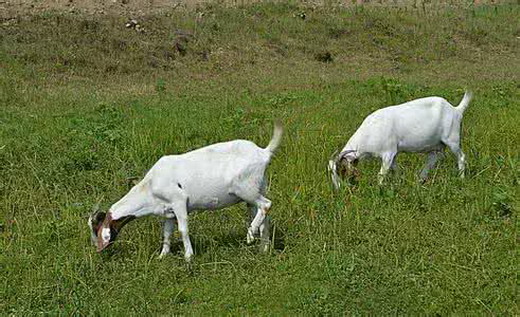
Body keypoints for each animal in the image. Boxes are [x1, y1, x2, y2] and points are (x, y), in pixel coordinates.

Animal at [89, 121, 284, 260]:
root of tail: (264, 152)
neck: (150, 187)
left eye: (95, 227)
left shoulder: (179, 201)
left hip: (245, 189)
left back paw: (251, 234)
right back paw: (263, 248)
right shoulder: (168, 212)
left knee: (266, 205)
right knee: (264, 216)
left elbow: (183, 229)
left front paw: (188, 257)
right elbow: (167, 234)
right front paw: (162, 256)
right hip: (257, 188)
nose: (97, 249)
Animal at [332, 90, 474, 188]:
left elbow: (381, 174)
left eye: (341, 170)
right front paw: (399, 183)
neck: (370, 130)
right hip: (436, 146)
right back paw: (419, 181)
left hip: (452, 139)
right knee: (432, 159)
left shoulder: (388, 153)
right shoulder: (392, 155)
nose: (338, 189)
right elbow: (397, 170)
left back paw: (461, 179)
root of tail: (456, 110)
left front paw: (379, 189)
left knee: (461, 157)